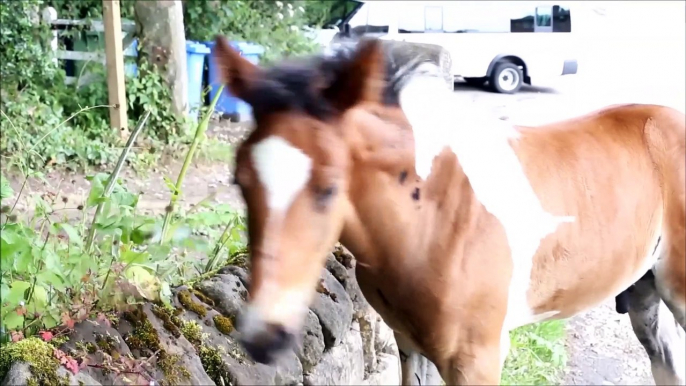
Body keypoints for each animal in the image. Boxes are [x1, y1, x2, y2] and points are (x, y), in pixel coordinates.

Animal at [212, 34, 684, 384]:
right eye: (240, 181)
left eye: (329, 188)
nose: (263, 337)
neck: (435, 221)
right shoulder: (408, 343)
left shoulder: (479, 359)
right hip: (643, 292)